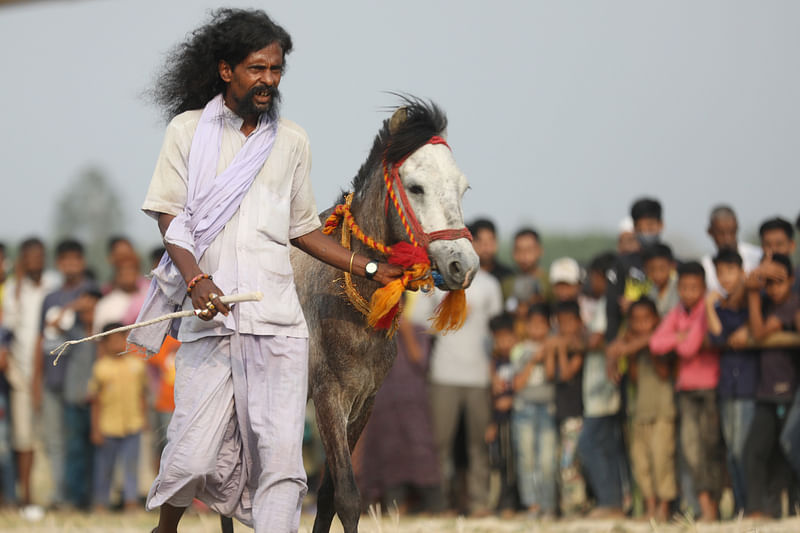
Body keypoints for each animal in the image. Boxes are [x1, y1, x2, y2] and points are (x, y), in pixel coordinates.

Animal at [296, 96, 478, 532]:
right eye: (416, 187)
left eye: (462, 187)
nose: (464, 265)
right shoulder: (328, 397)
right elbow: (347, 496)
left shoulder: (363, 402)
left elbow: (327, 495)